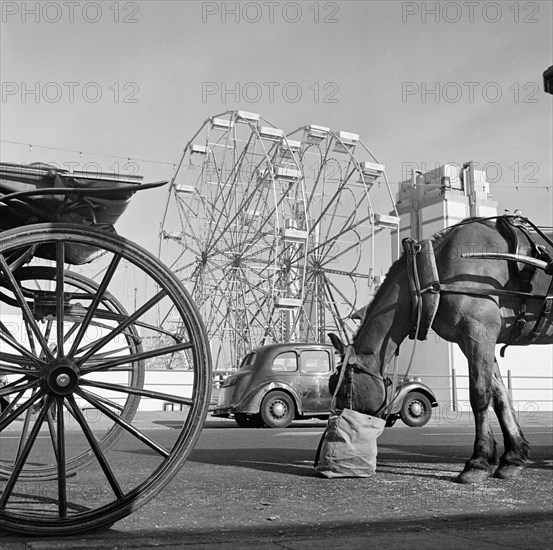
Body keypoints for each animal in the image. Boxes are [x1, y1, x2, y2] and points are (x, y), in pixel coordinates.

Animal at [330, 218, 548, 486]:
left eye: (346, 386)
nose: (337, 425)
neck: (430, 274)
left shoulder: (479, 330)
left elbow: (480, 394)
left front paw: (479, 461)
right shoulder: (473, 340)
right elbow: (500, 396)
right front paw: (513, 457)